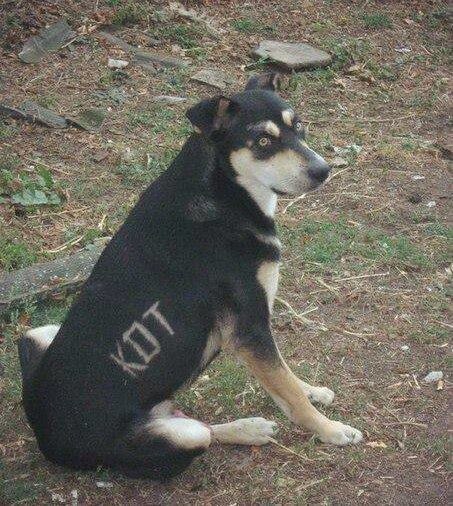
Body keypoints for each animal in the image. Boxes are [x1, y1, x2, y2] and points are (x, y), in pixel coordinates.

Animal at [18, 73, 362, 481]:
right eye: (262, 141)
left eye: (300, 128)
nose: (323, 170)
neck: (223, 190)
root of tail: (41, 432)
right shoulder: (250, 329)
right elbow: (287, 389)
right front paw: (330, 429)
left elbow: (287, 377)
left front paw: (312, 390)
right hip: (178, 437)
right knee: (202, 433)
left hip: (40, 332)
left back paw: (250, 427)